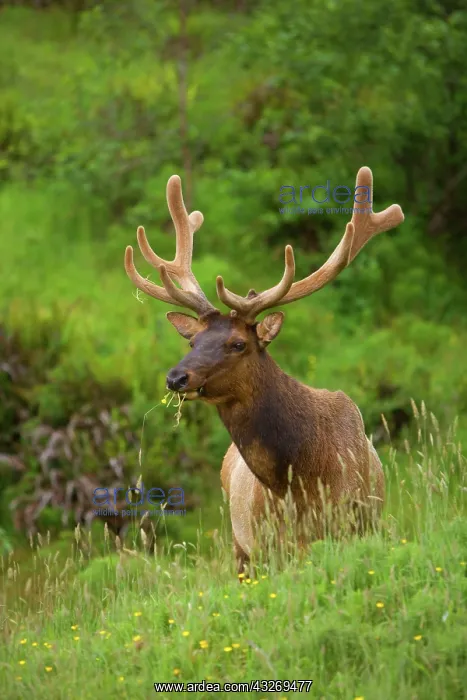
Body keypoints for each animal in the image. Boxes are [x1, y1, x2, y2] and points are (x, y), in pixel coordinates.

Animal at [124, 166, 404, 575]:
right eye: (193, 342)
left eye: (238, 343)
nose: (176, 378)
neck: (302, 479)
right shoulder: (270, 545)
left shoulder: (359, 525)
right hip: (240, 547)